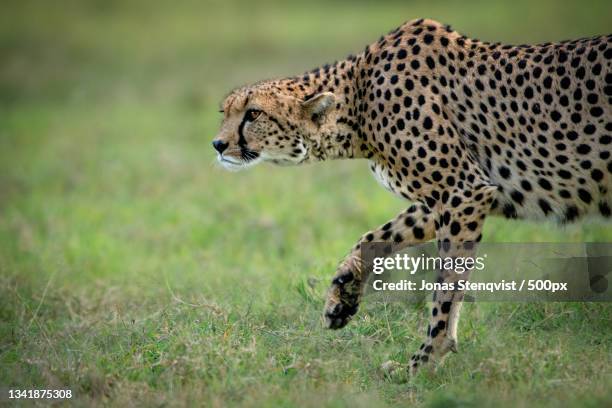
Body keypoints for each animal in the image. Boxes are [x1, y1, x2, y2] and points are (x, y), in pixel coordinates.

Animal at [212, 19, 612, 374]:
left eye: (253, 114)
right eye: (224, 112)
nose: (217, 144)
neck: (357, 100)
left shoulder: (463, 191)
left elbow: (446, 291)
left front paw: (423, 362)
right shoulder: (445, 199)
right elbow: (374, 237)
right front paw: (342, 295)